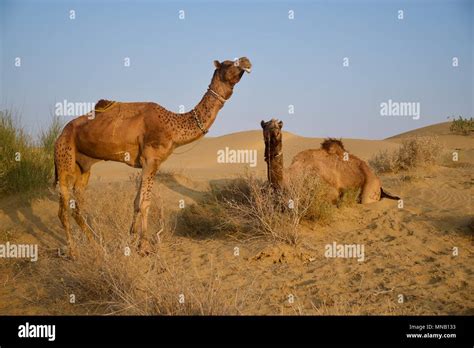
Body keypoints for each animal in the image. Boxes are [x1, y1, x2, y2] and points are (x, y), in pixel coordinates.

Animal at [54, 55, 252, 254]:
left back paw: (96, 244)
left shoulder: (146, 162)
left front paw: (132, 239)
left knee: (77, 207)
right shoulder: (151, 159)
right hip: (65, 157)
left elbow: (136, 202)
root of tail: (60, 134)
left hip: (83, 167)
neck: (173, 128)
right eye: (229, 63)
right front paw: (144, 246)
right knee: (63, 210)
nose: (246, 61)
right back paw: (73, 251)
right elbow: (145, 203)